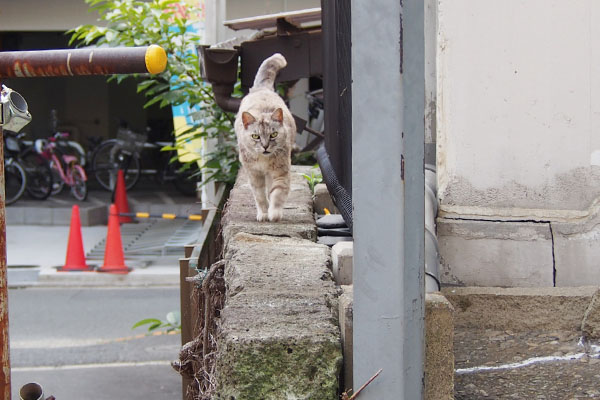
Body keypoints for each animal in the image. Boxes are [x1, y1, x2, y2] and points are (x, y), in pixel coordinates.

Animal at [237, 52, 298, 222]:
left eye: (273, 134)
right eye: (255, 136)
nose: (265, 146)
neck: (264, 160)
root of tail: (261, 89)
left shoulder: (280, 173)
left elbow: (277, 194)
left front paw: (274, 213)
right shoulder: (254, 175)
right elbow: (260, 196)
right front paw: (263, 213)